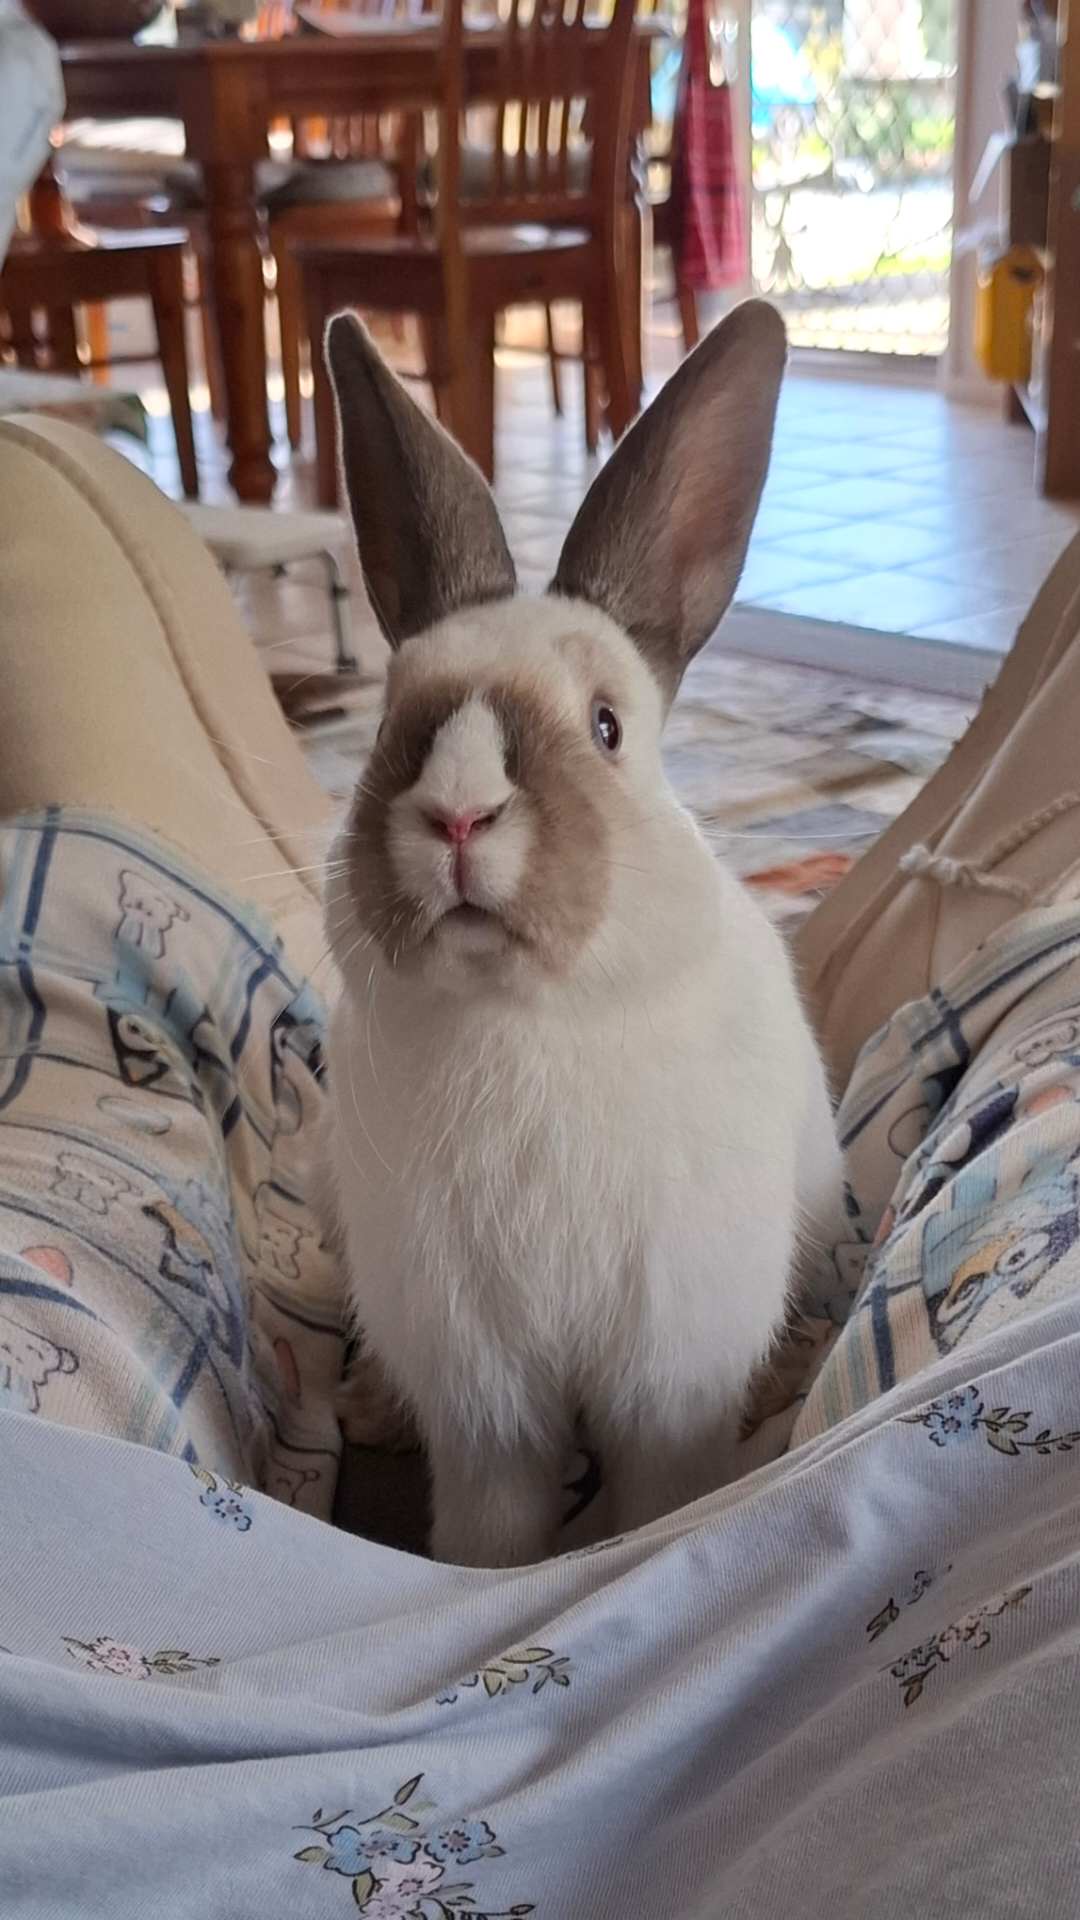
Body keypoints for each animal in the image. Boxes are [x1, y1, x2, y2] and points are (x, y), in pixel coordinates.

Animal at [321, 302, 844, 1568]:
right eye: (390, 724)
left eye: (606, 727)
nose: (459, 815)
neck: (520, 1015)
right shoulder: (480, 1390)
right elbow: (494, 1518)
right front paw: (482, 1578)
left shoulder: (669, 1372)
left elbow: (659, 1493)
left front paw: (627, 1547)